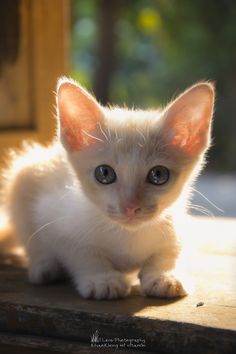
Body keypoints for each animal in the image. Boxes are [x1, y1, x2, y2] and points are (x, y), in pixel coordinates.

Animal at [2, 77, 214, 298]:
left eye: (158, 175)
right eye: (104, 173)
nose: (130, 206)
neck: (127, 235)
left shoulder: (176, 222)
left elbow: (171, 248)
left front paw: (164, 275)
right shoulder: (55, 216)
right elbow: (79, 251)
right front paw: (102, 279)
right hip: (23, 176)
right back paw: (44, 265)